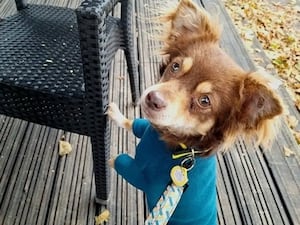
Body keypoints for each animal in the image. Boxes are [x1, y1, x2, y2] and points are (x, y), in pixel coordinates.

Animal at [108, 0, 284, 223]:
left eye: (204, 101)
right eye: (175, 66)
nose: (152, 99)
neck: (179, 146)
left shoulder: (142, 177)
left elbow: (118, 160)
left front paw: (106, 162)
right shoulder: (146, 127)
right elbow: (133, 123)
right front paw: (115, 113)